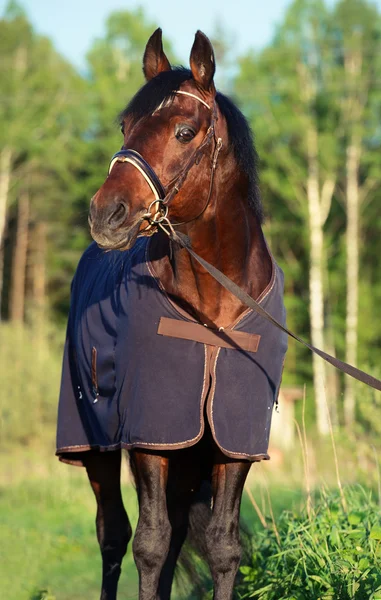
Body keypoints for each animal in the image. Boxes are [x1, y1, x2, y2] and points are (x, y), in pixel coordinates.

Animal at [56, 29, 286, 600]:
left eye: (184, 131)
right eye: (125, 126)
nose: (106, 213)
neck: (213, 309)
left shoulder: (232, 444)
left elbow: (223, 547)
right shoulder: (150, 435)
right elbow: (149, 545)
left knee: (177, 532)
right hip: (95, 446)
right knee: (114, 536)